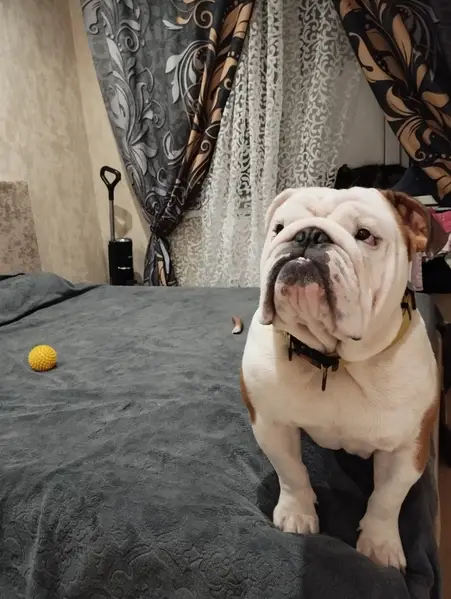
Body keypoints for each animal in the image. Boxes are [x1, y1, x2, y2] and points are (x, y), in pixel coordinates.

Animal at [241, 187, 446, 570]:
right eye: (279, 227)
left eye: (365, 235)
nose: (308, 235)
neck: (333, 360)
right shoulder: (271, 424)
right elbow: (291, 471)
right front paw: (297, 514)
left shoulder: (407, 449)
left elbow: (387, 499)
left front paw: (380, 546)